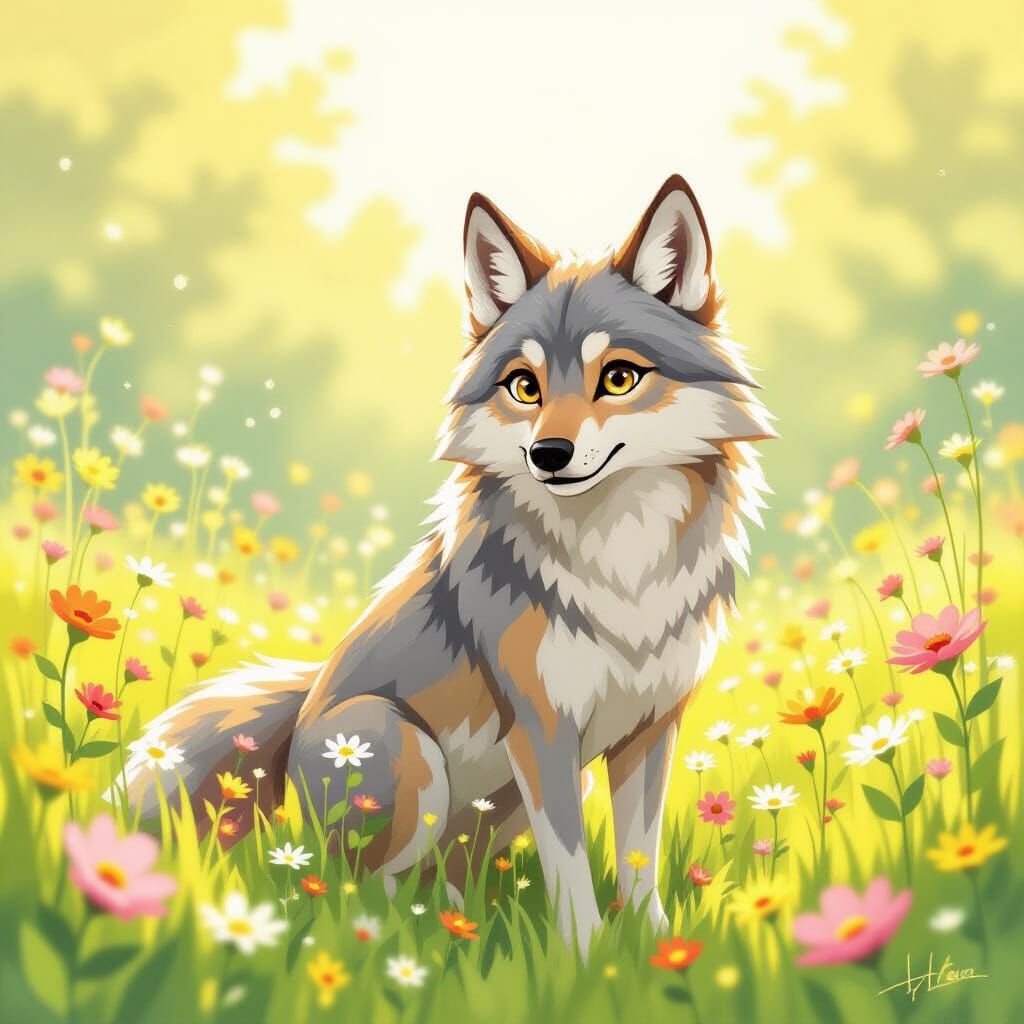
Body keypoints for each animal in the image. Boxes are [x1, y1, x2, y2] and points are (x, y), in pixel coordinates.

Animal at [120, 175, 773, 953]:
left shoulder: (650, 729)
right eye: (524, 387)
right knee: (352, 886)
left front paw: (654, 949)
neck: (620, 562)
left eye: (618, 377)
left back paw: (464, 923)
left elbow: (637, 862)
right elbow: (571, 866)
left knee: (443, 875)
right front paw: (585, 958)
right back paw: (412, 936)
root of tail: (302, 706)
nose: (547, 454)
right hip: (400, 746)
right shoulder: (542, 731)